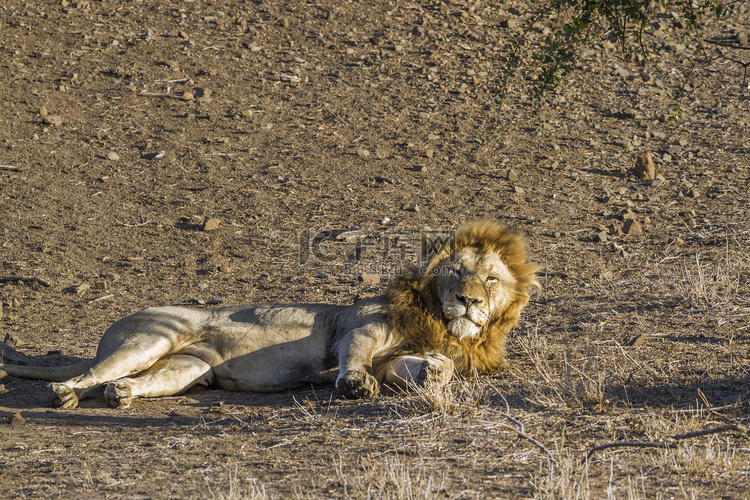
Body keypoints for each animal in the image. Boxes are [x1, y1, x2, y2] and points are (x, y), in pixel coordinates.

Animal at [0, 221, 540, 408]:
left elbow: (419, 368)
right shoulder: (358, 328)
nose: (470, 301)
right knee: (88, 374)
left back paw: (123, 395)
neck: (442, 320)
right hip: (152, 337)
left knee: (130, 382)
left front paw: (435, 371)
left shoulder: (398, 358)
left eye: (491, 279)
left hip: (186, 369)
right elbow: (356, 361)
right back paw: (66, 394)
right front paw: (354, 385)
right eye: (456, 272)